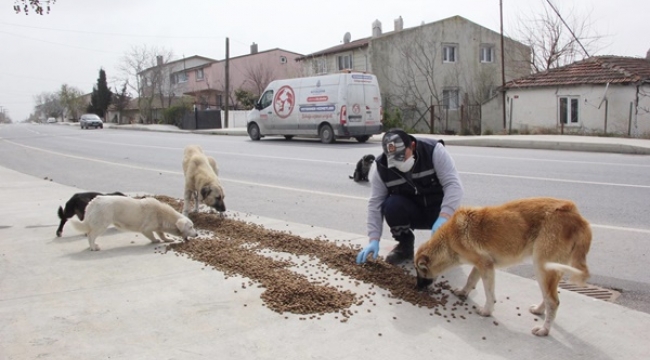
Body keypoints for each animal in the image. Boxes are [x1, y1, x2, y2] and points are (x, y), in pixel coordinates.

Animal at [412, 195, 588, 336]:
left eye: (420, 273)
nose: (416, 288)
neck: (449, 240)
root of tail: (577, 217)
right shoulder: (480, 264)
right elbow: (470, 279)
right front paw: (463, 292)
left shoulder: (486, 267)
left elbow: (489, 294)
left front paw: (487, 311)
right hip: (550, 272)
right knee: (549, 296)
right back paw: (539, 310)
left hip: (542, 268)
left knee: (553, 301)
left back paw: (544, 329)